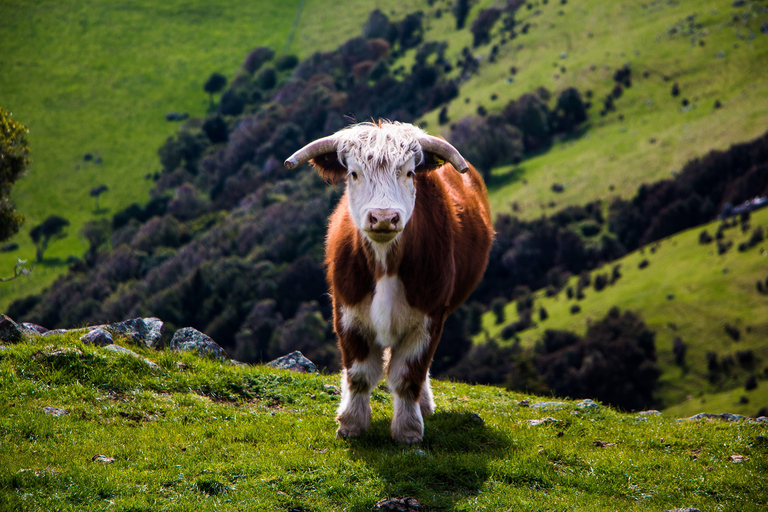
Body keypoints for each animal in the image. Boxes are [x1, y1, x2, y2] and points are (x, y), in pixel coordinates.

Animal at [284, 121, 496, 444]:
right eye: (353, 173)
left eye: (409, 172)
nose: (383, 217)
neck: (385, 263)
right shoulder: (347, 312)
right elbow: (359, 374)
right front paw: (351, 424)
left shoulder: (430, 318)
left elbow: (408, 376)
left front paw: (408, 430)